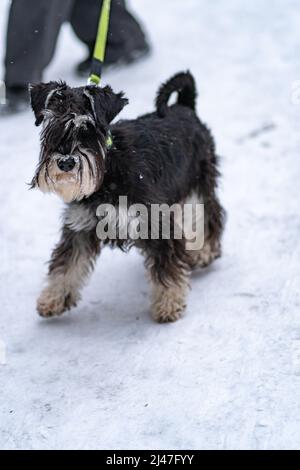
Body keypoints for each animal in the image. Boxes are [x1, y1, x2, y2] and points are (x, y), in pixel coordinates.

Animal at [30, 72, 224, 324]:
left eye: (88, 128)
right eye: (50, 126)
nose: (65, 162)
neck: (109, 169)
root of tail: (184, 106)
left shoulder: (155, 221)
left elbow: (166, 267)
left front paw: (169, 304)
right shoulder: (80, 227)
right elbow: (66, 264)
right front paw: (53, 298)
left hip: (198, 186)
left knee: (207, 217)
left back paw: (204, 251)